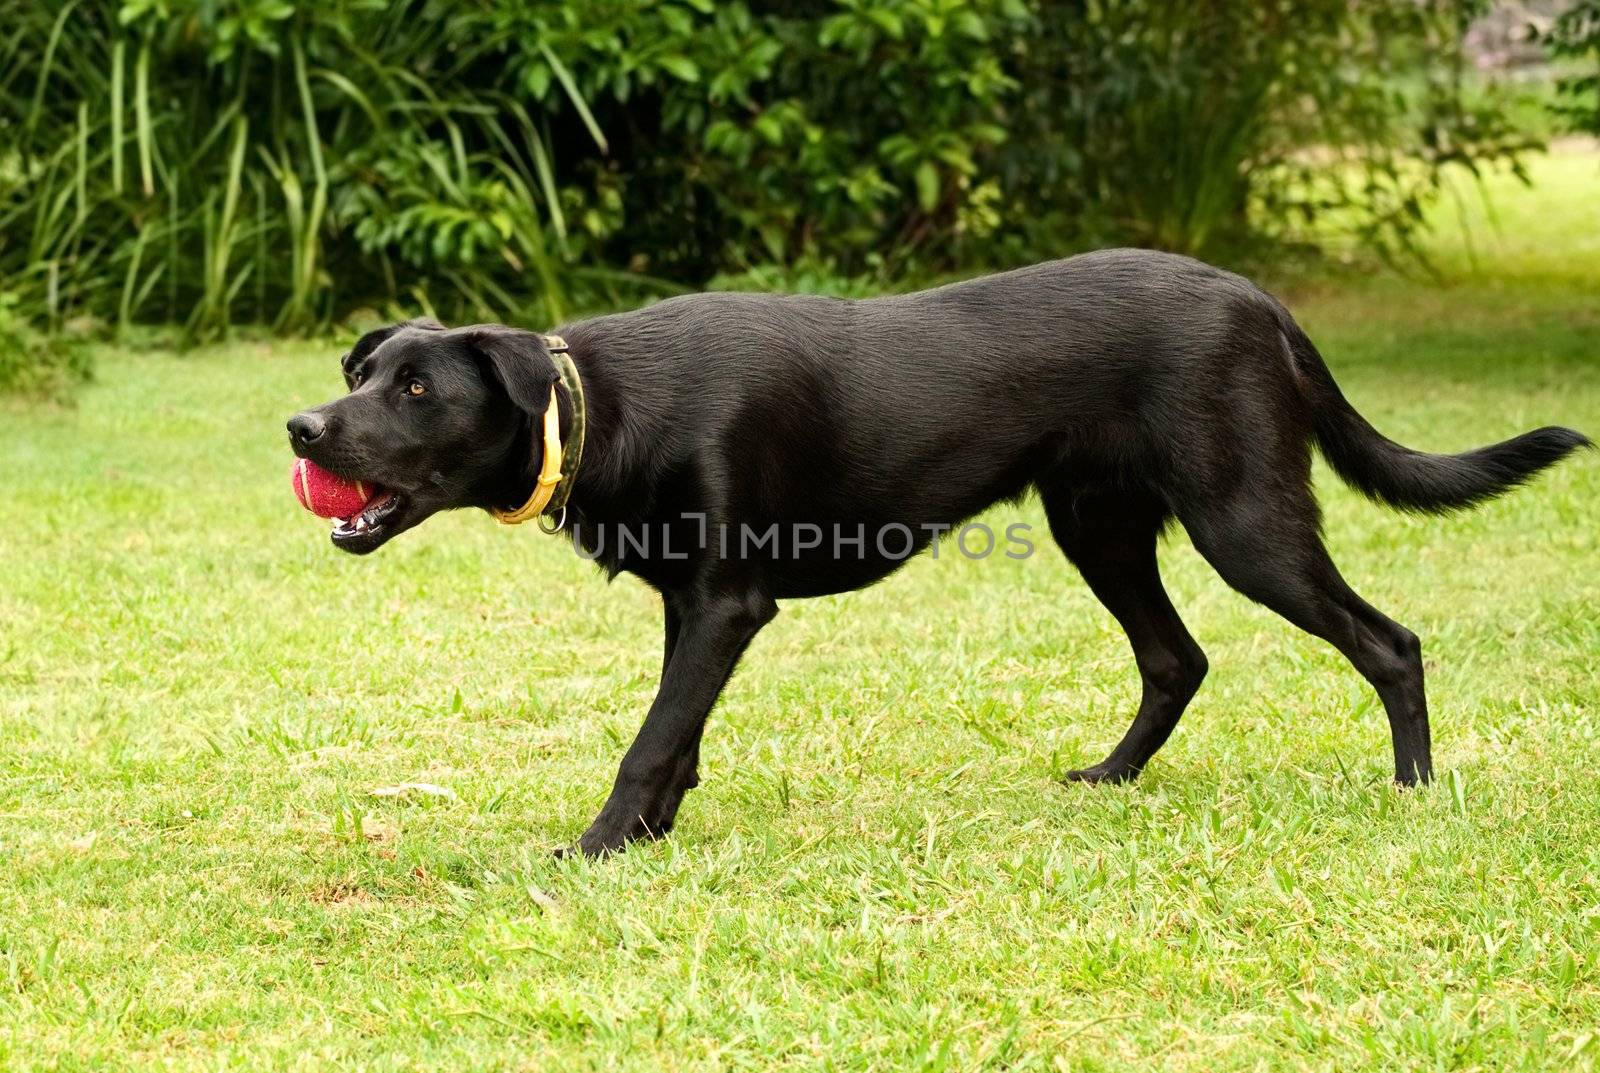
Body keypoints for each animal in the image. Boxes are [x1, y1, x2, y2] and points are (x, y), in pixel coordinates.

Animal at [288, 249, 1587, 857]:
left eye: (415, 389)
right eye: (363, 371)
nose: (301, 428)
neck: (595, 404)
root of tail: (1256, 296)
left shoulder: (727, 603)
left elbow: (650, 736)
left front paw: (602, 845)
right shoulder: (689, 604)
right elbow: (678, 734)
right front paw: (652, 834)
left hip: (1246, 522)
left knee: (1389, 640)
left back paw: (1412, 788)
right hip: (1096, 525)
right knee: (1176, 658)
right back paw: (1111, 777)